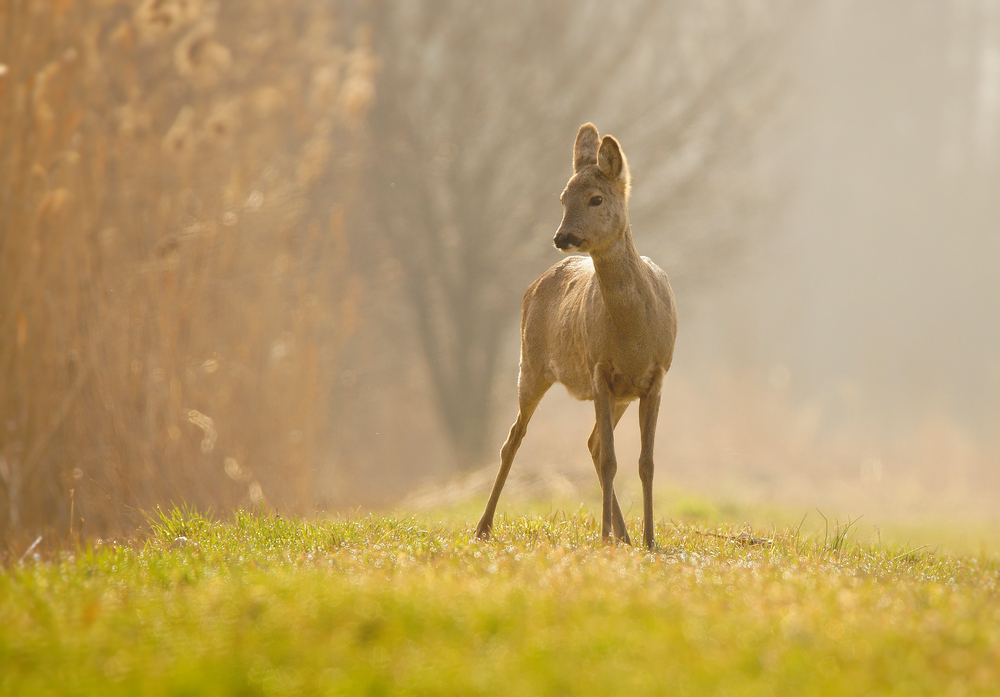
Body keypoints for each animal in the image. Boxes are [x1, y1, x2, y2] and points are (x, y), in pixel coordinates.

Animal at [476, 125, 680, 548]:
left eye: (595, 198)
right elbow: (612, 460)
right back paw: (483, 527)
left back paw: (625, 537)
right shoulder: (599, 369)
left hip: (618, 395)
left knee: (592, 442)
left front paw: (650, 540)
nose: (562, 236)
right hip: (531, 365)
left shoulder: (655, 377)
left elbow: (645, 462)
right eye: (562, 197)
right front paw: (603, 538)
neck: (632, 334)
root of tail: (536, 282)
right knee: (514, 438)